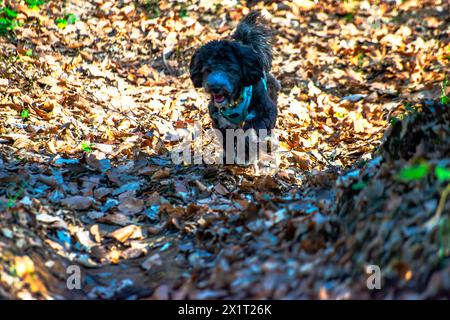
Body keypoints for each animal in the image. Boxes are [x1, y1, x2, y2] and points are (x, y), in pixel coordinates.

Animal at [189, 11, 280, 164]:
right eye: (207, 70)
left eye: (231, 70)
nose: (216, 87)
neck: (235, 102)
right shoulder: (221, 120)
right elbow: (229, 138)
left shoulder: (265, 113)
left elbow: (251, 134)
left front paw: (245, 155)